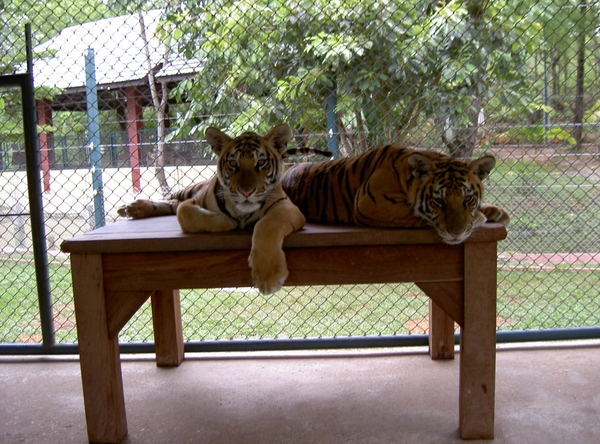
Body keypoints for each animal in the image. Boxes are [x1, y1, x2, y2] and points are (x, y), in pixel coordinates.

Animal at [117, 123, 304, 294]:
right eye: (233, 163)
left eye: (262, 162)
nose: (246, 192)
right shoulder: (192, 201)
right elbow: (185, 213)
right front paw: (228, 221)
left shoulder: (287, 206)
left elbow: (267, 224)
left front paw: (268, 277)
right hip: (189, 190)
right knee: (170, 200)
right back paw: (129, 207)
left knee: (171, 204)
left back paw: (131, 209)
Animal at [284, 144, 508, 245]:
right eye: (439, 201)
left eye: (467, 198)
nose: (457, 234)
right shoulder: (369, 204)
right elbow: (415, 214)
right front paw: (480, 217)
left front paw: (496, 211)